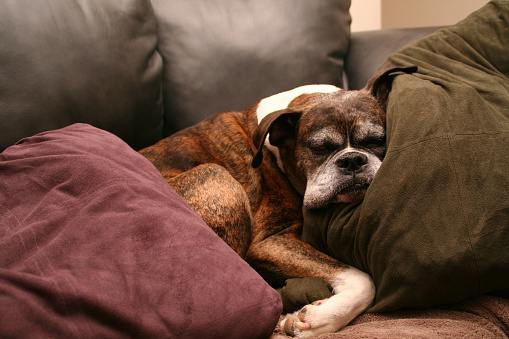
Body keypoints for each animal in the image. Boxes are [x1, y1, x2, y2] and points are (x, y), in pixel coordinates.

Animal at [138, 63, 412, 338]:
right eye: (320, 148)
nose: (352, 160)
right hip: (219, 178)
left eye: (376, 140)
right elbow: (363, 280)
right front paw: (321, 319)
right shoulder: (269, 242)